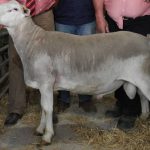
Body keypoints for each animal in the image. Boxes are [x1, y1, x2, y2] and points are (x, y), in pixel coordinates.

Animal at [0, 0, 150, 145]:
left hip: (144, 78)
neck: (33, 42)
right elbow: (42, 107)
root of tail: (146, 40)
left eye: (14, 9)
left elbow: (48, 109)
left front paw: (47, 136)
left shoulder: (46, 82)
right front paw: (40, 129)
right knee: (142, 97)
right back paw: (144, 116)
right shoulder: (43, 85)